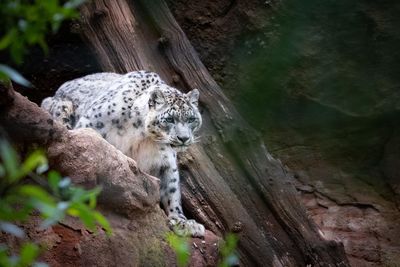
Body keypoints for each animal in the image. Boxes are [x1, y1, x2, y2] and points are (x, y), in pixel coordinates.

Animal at [41, 70, 206, 238]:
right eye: (170, 119)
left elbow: (172, 190)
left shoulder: (167, 161)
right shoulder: (89, 125)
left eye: (191, 119)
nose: (184, 138)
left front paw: (182, 222)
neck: (142, 137)